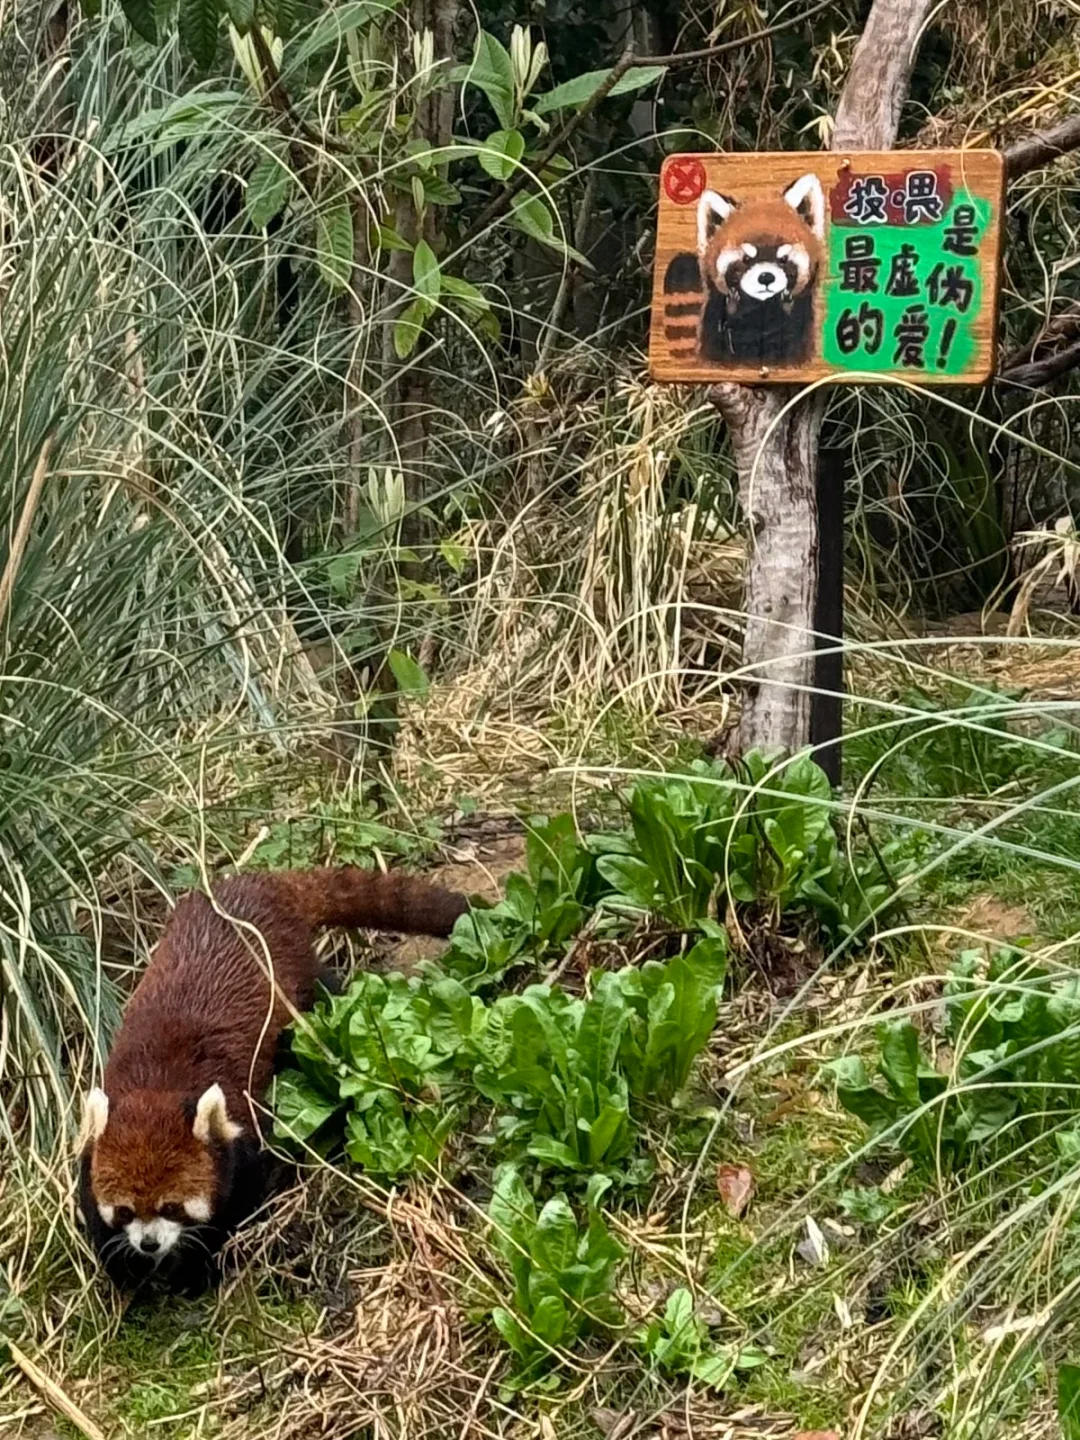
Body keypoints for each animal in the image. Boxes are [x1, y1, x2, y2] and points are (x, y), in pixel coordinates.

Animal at [76, 864, 466, 1296]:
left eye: (172, 1207)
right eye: (125, 1210)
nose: (149, 1243)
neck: (159, 1086)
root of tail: (257, 882)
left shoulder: (241, 1136)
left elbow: (235, 1206)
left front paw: (195, 1271)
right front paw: (130, 1276)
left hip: (297, 976)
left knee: (322, 992)